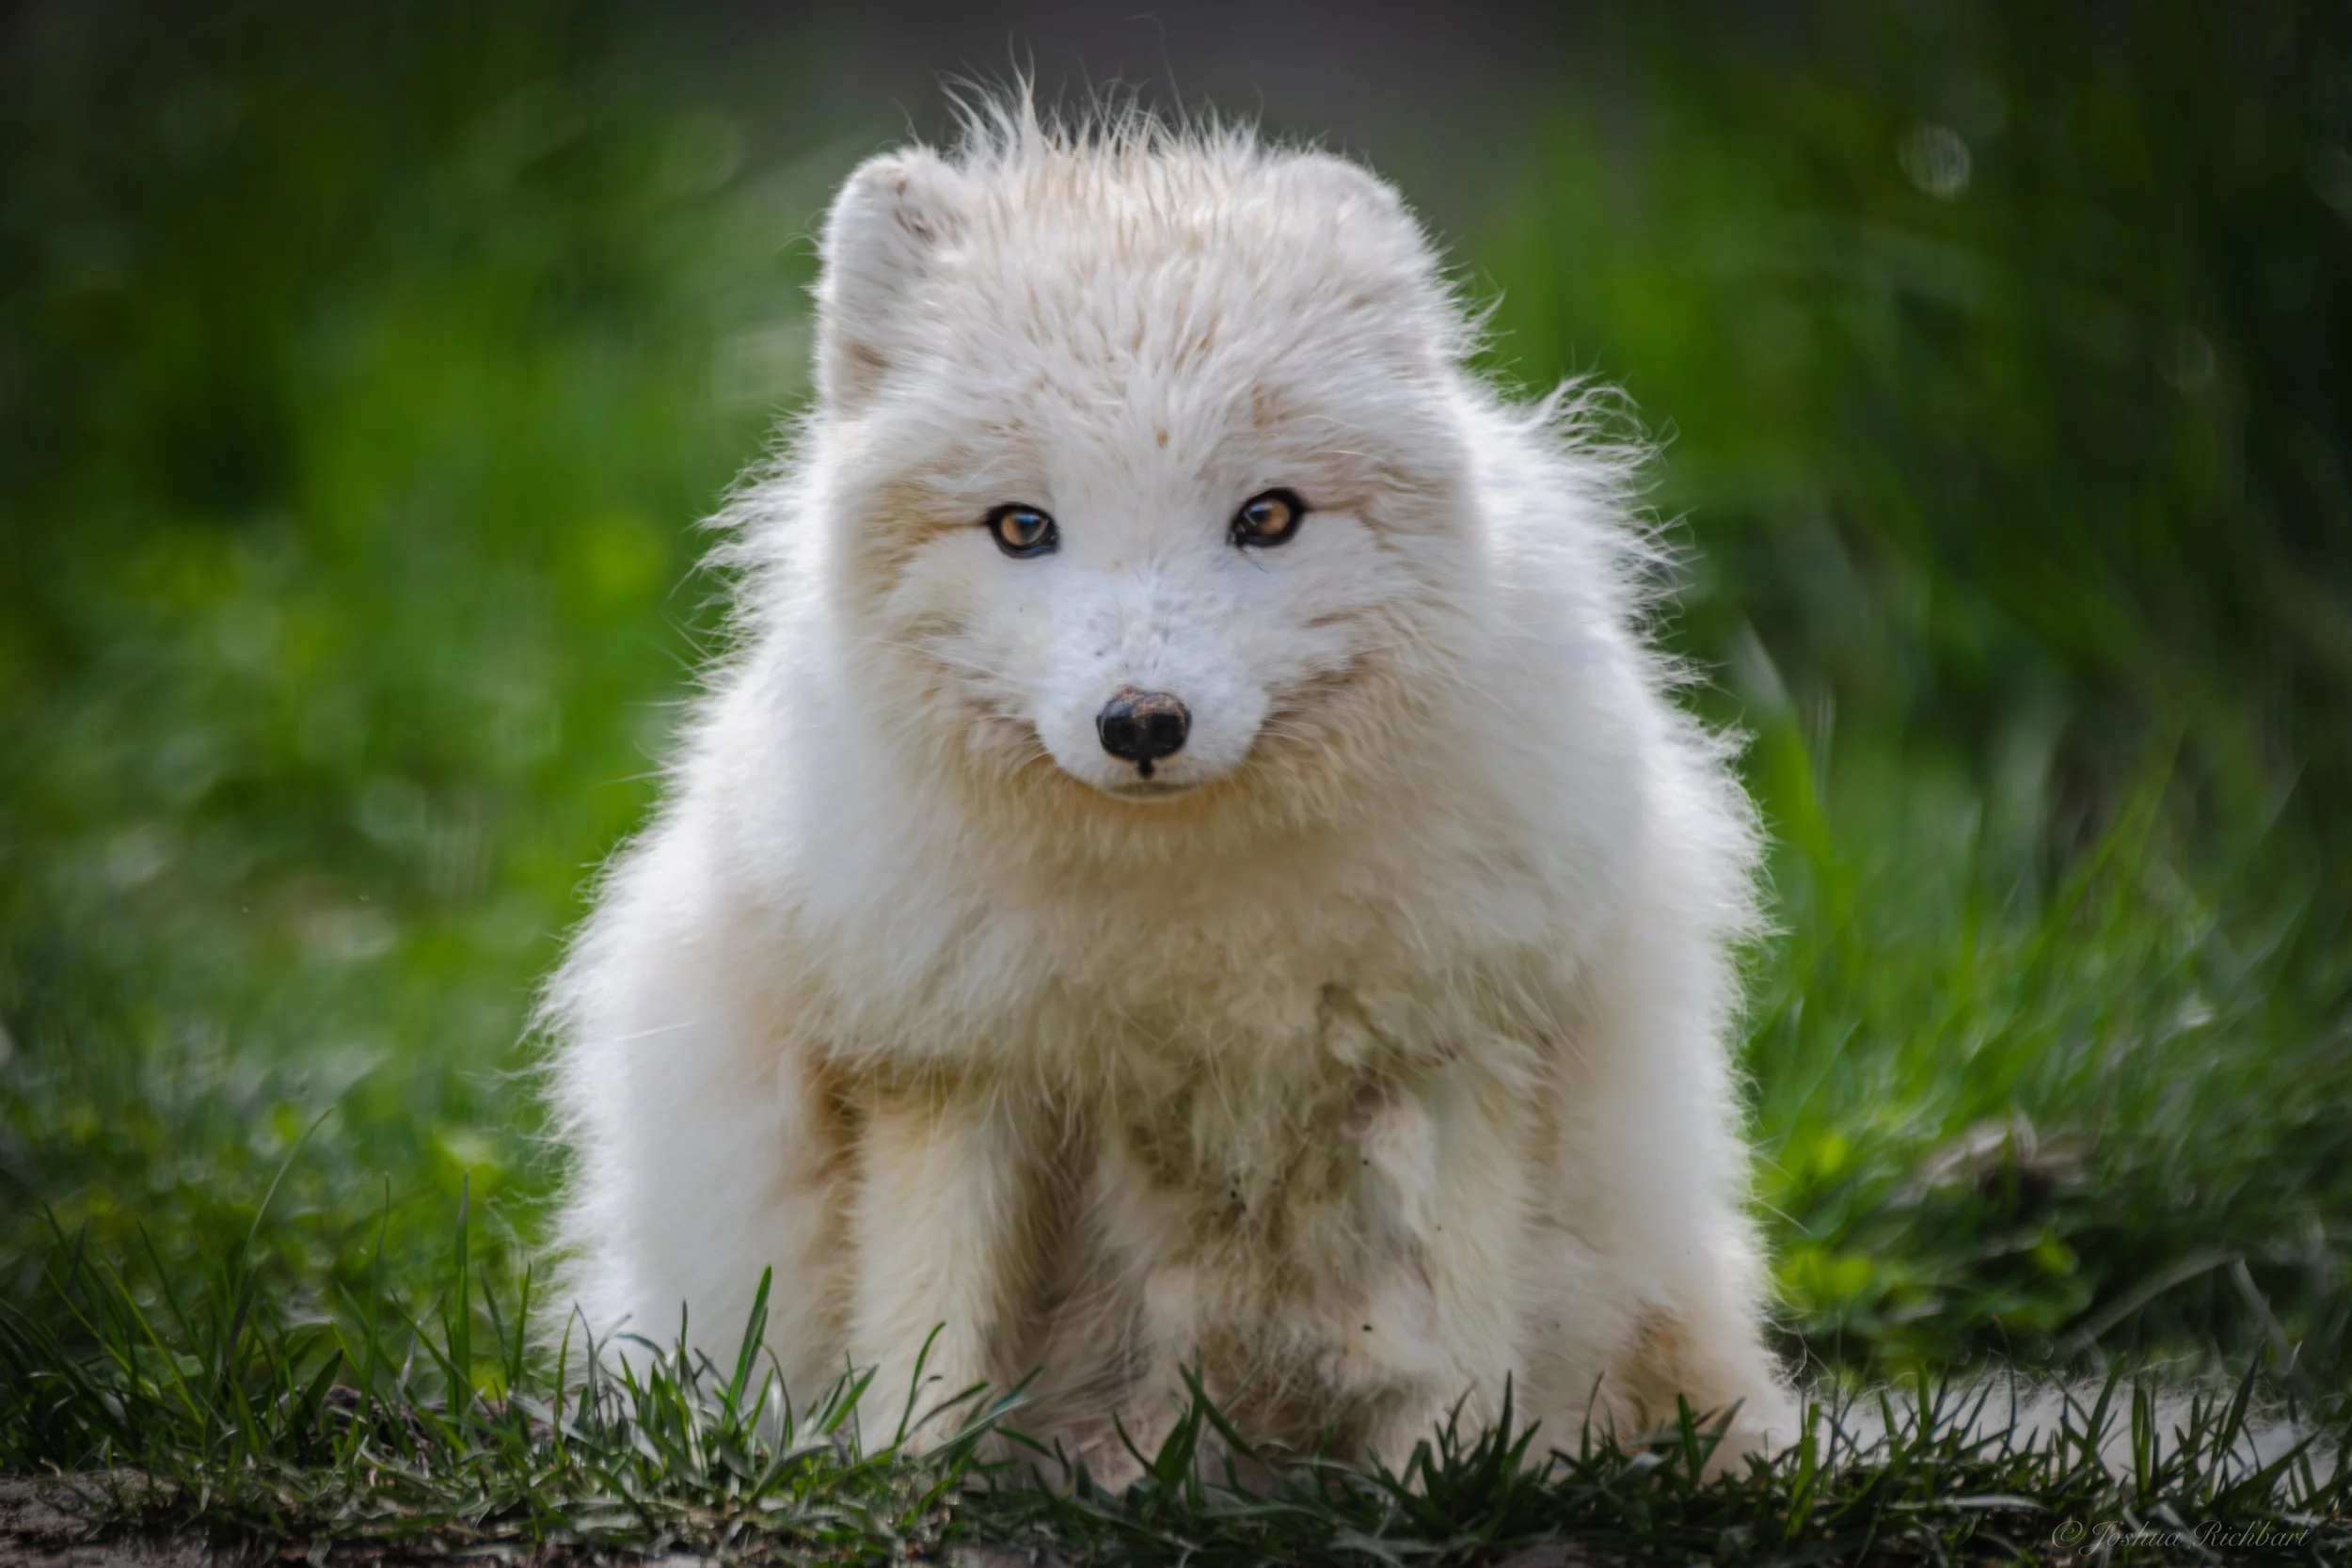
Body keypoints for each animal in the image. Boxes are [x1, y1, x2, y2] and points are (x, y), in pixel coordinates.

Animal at [543, 99, 1796, 1482]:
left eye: (1268, 515)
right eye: (1022, 527)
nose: (1142, 721)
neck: (1190, 931)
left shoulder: (1464, 1045)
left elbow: (1463, 1348)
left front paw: (1453, 1486)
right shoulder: (943, 1064)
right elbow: (927, 1326)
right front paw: (905, 1481)